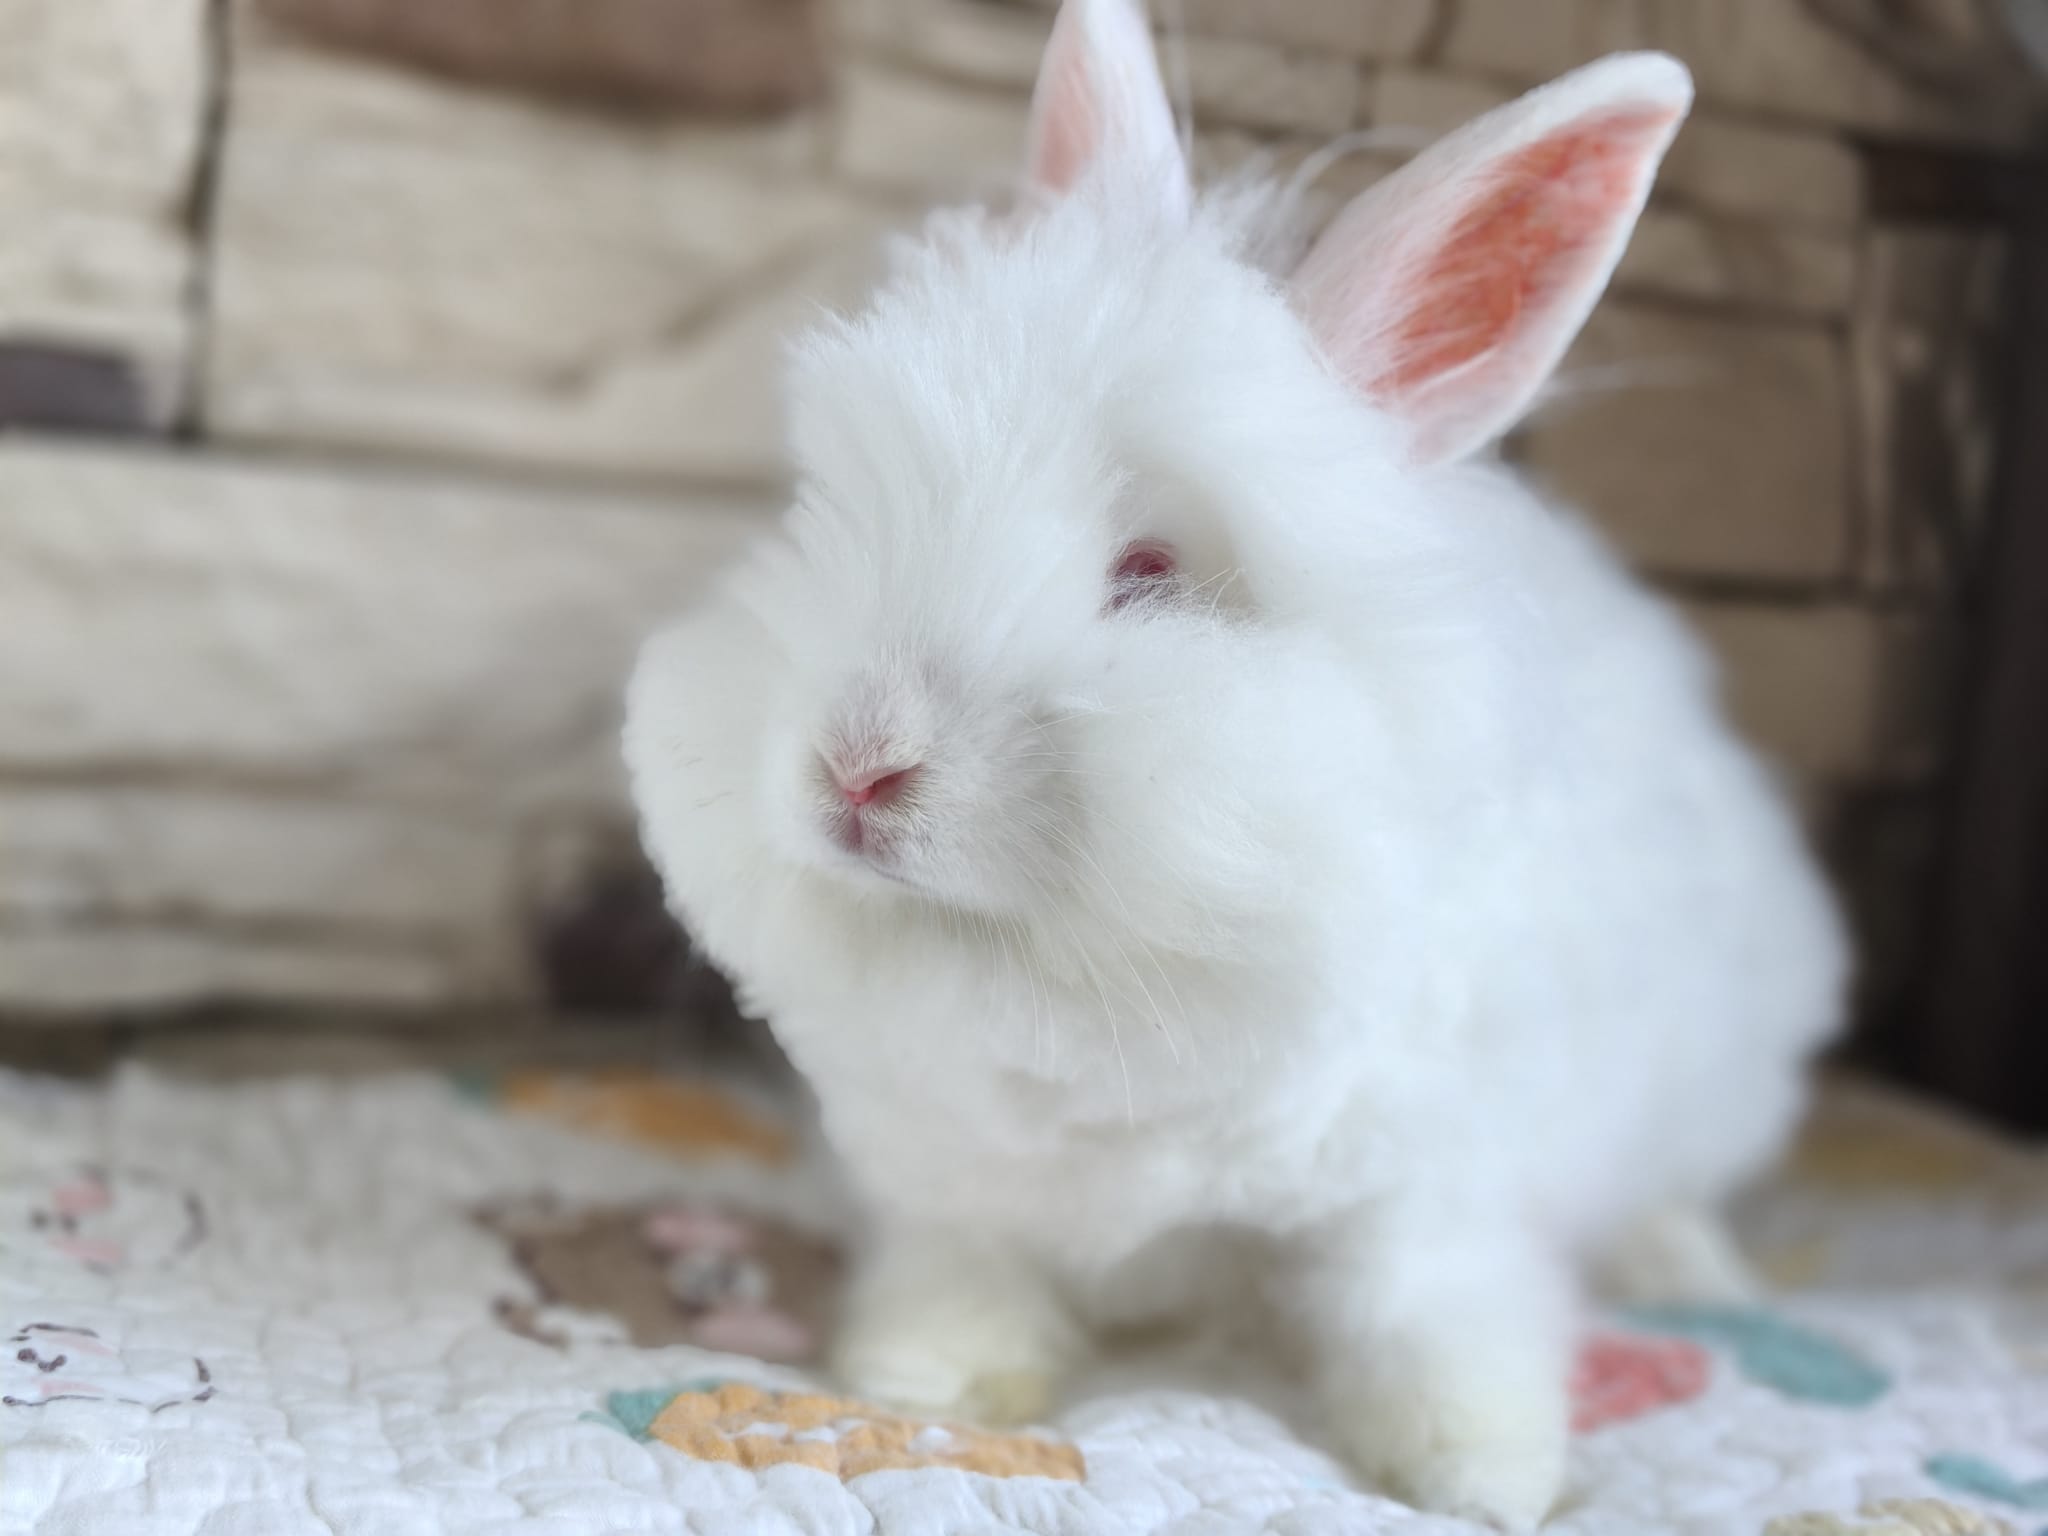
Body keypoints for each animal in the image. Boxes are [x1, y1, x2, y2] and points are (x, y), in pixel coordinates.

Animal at [623, 0, 1847, 1524]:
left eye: (1150, 574)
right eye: (827, 509)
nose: (856, 769)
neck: (1084, 1013)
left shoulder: (1425, 1195)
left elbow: (1425, 1313)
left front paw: (1480, 1472)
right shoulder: (950, 1185)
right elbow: (963, 1276)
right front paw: (923, 1382)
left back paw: (1691, 1269)